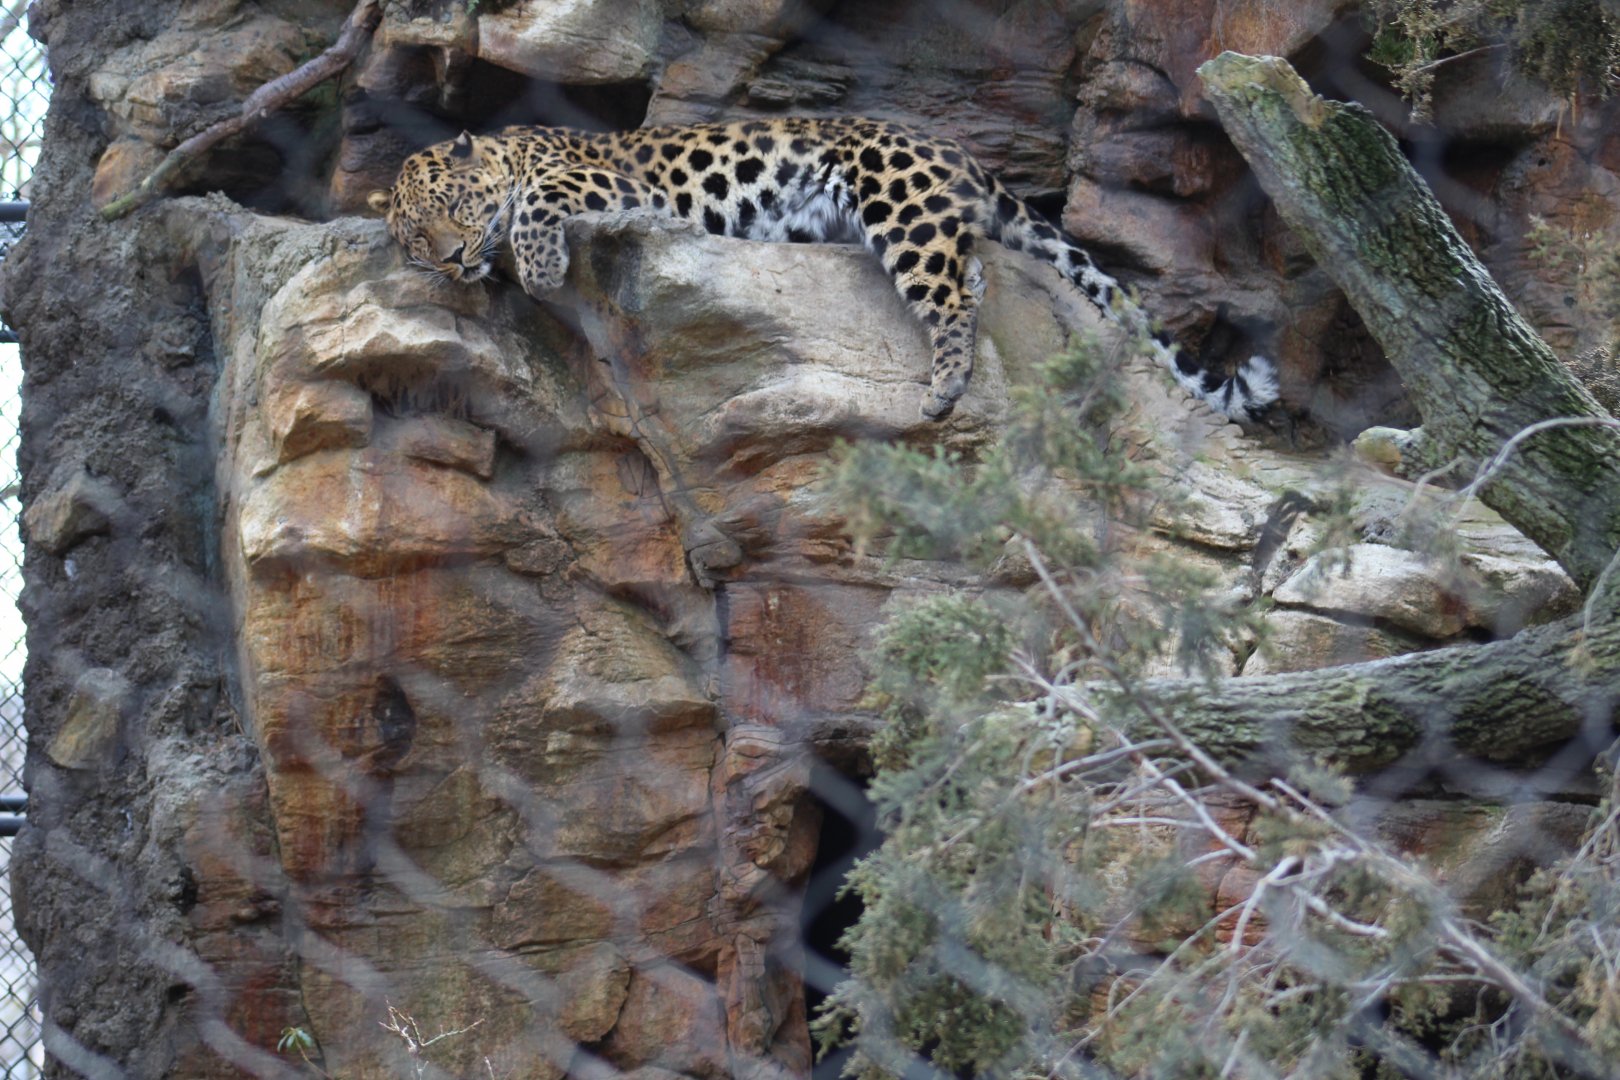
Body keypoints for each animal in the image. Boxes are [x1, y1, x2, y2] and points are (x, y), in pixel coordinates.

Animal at [367, 117, 1278, 422]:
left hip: (890, 193)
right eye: (411, 238)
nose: (450, 257)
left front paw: (539, 263)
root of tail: (961, 157)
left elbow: (540, 202)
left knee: (945, 291)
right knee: (967, 270)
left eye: (453, 205)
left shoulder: (605, 180)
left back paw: (946, 384)